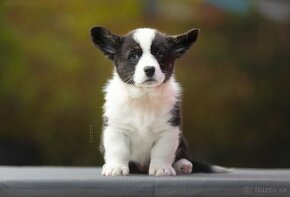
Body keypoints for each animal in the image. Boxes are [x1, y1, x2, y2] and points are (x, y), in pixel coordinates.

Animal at [90, 26, 224, 176]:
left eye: (159, 54)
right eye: (133, 56)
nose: (149, 69)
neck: (144, 96)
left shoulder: (168, 130)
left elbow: (162, 151)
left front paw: (162, 168)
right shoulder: (116, 128)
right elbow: (118, 150)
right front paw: (116, 168)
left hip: (181, 139)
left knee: (181, 154)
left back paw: (183, 165)